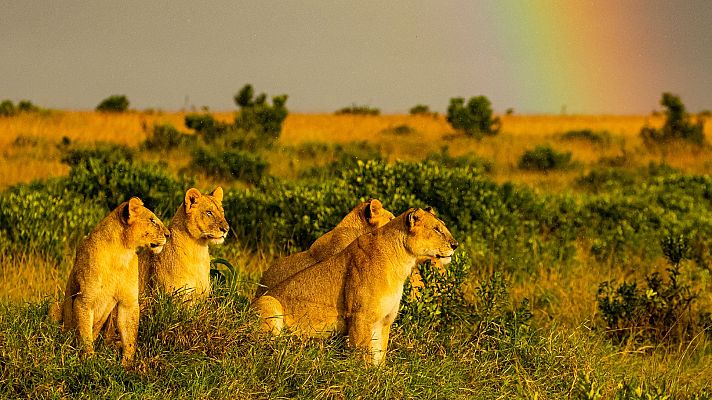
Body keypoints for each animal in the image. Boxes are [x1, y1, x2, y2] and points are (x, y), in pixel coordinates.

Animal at [57, 197, 169, 366]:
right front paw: (89, 361)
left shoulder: (128, 302)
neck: (120, 253)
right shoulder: (84, 300)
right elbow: (85, 335)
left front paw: (126, 365)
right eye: (152, 220)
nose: (168, 234)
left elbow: (130, 337)